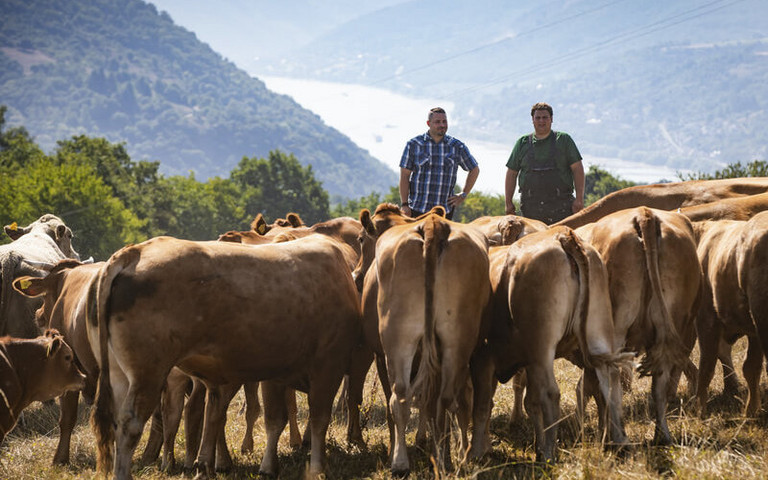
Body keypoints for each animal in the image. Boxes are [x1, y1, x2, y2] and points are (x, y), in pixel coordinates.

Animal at [85, 234, 362, 478]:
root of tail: (135, 251)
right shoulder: (328, 365)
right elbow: (318, 419)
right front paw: (317, 468)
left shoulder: (277, 371)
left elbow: (277, 418)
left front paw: (269, 467)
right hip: (148, 373)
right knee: (131, 424)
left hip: (119, 375)